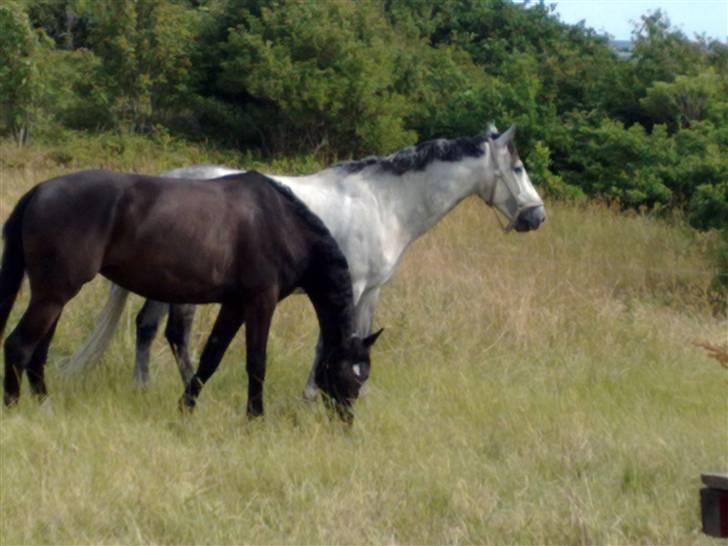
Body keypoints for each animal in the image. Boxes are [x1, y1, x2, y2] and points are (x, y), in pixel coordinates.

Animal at [0, 170, 384, 420]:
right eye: (349, 374)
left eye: (364, 373)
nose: (346, 422)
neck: (280, 224)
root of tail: (40, 191)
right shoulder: (260, 301)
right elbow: (256, 362)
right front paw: (255, 417)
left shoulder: (234, 304)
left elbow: (211, 356)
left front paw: (187, 407)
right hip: (53, 294)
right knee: (18, 346)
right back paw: (15, 410)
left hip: (53, 296)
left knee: (38, 353)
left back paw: (45, 408)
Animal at [69, 125, 544, 394]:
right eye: (519, 169)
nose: (536, 216)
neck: (383, 202)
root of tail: (169, 179)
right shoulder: (350, 285)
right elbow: (327, 338)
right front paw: (314, 393)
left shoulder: (371, 290)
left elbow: (359, 333)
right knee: (173, 333)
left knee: (147, 326)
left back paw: (145, 387)